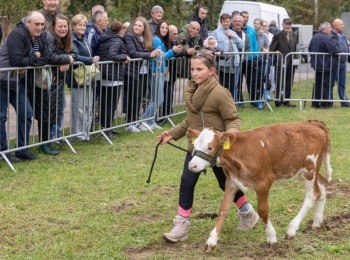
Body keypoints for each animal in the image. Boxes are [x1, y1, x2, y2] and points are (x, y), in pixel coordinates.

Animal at [187, 121, 332, 253]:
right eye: (194, 145)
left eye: (210, 147)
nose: (192, 165)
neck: (241, 152)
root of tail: (312, 123)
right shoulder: (232, 182)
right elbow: (223, 209)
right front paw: (211, 241)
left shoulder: (264, 183)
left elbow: (263, 210)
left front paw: (271, 238)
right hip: (306, 171)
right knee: (323, 187)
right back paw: (317, 222)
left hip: (309, 169)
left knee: (313, 194)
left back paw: (292, 229)